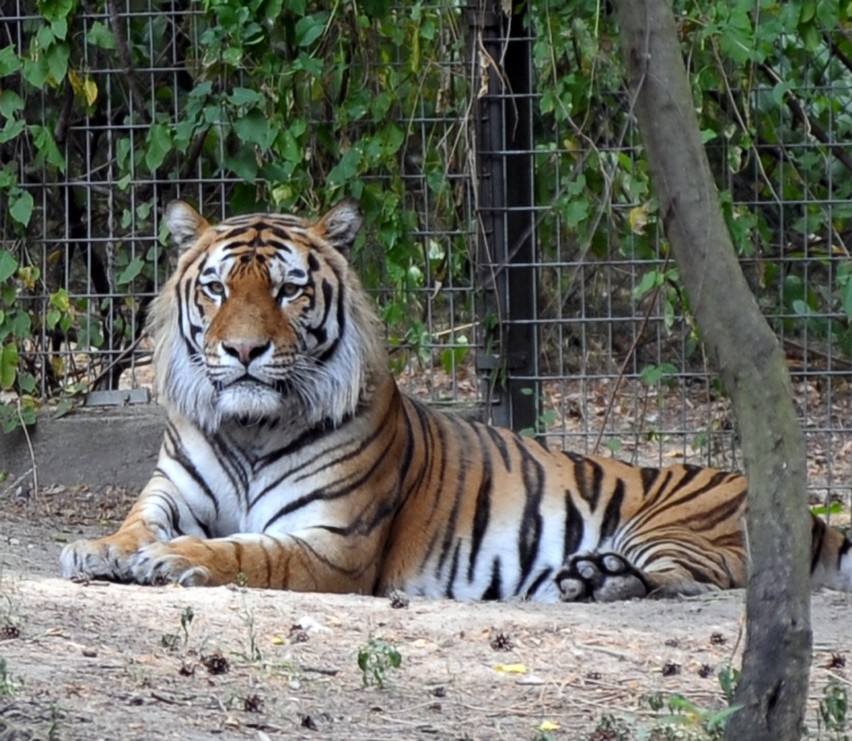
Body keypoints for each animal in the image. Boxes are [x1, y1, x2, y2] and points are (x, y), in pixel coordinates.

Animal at [60, 201, 852, 600]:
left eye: (288, 289)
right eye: (217, 288)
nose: (245, 351)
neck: (252, 428)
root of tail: (806, 509)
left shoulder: (332, 544)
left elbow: (245, 553)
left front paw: (173, 560)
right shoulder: (171, 492)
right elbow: (135, 523)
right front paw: (99, 549)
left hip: (674, 526)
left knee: (696, 579)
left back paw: (601, 579)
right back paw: (589, 578)